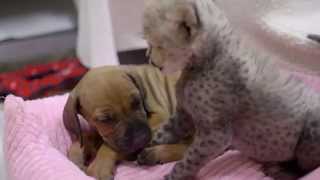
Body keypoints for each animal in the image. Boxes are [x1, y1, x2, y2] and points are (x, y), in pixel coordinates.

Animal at [142, 0, 320, 180]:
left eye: (159, 45)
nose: (151, 62)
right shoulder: (185, 114)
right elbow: (165, 130)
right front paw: (147, 143)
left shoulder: (217, 134)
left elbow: (191, 158)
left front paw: (173, 175)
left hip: (312, 131)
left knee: (307, 166)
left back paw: (282, 170)